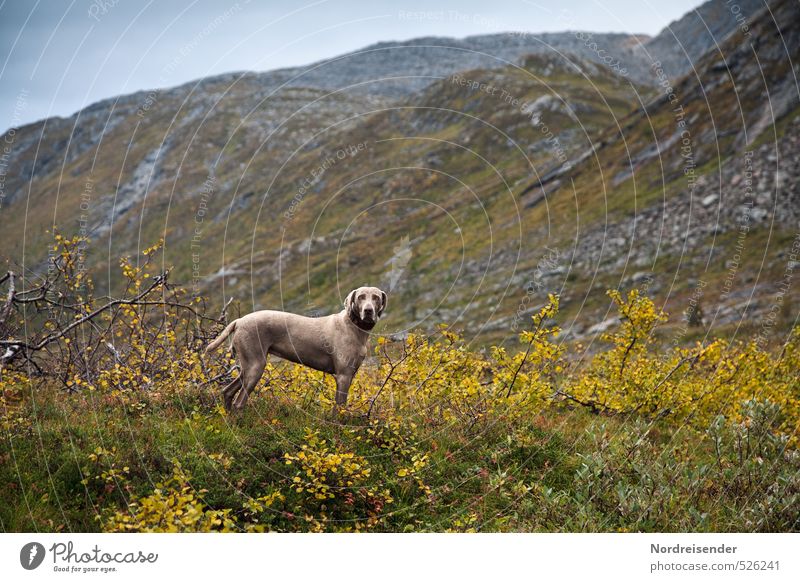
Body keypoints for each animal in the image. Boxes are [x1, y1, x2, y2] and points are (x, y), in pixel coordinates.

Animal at [203, 286, 384, 410]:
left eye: (376, 297)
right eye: (361, 297)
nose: (368, 311)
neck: (354, 327)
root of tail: (239, 321)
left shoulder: (350, 375)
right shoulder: (343, 376)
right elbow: (338, 410)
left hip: (247, 367)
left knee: (227, 392)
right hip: (256, 366)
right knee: (239, 403)